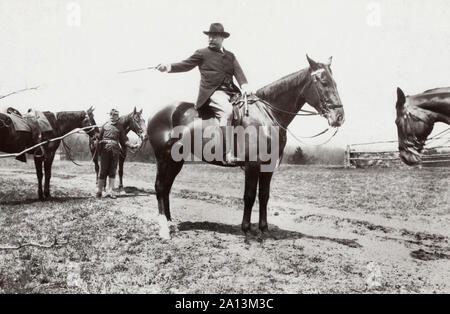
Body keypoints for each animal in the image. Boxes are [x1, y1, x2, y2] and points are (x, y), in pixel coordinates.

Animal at [148, 55, 344, 238]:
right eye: (324, 82)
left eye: (335, 82)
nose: (339, 116)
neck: (267, 115)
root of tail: (159, 112)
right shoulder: (252, 165)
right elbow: (249, 196)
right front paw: (246, 229)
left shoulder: (268, 167)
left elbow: (264, 196)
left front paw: (264, 229)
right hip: (163, 158)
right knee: (160, 187)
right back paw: (164, 228)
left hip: (176, 160)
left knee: (167, 187)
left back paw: (170, 223)